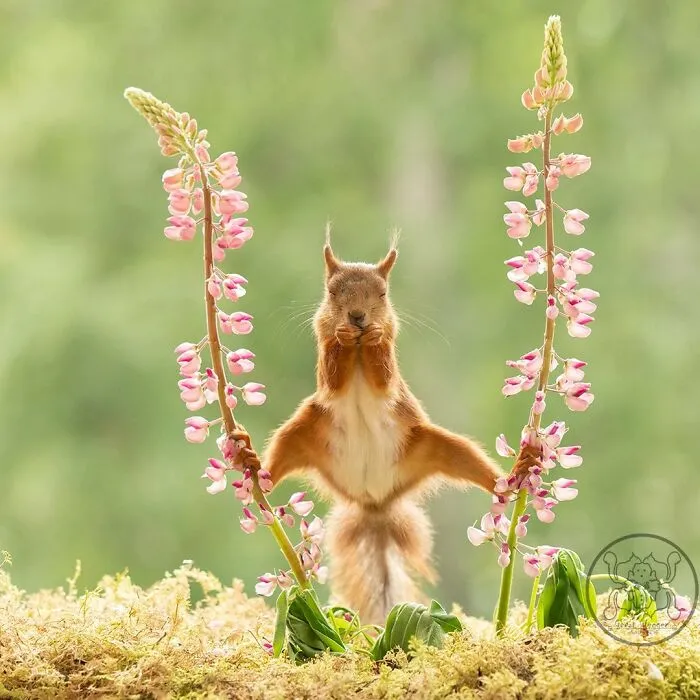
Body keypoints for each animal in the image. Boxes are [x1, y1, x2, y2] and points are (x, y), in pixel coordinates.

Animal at [239, 238, 512, 624]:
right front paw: (342, 337)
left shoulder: (390, 370)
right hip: (299, 435)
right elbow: (333, 377)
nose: (357, 317)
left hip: (433, 445)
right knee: (274, 469)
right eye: (331, 292)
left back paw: (516, 474)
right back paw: (249, 461)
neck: (357, 350)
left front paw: (375, 337)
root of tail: (375, 501)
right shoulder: (324, 356)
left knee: (473, 465)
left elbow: (383, 376)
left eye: (383, 294)